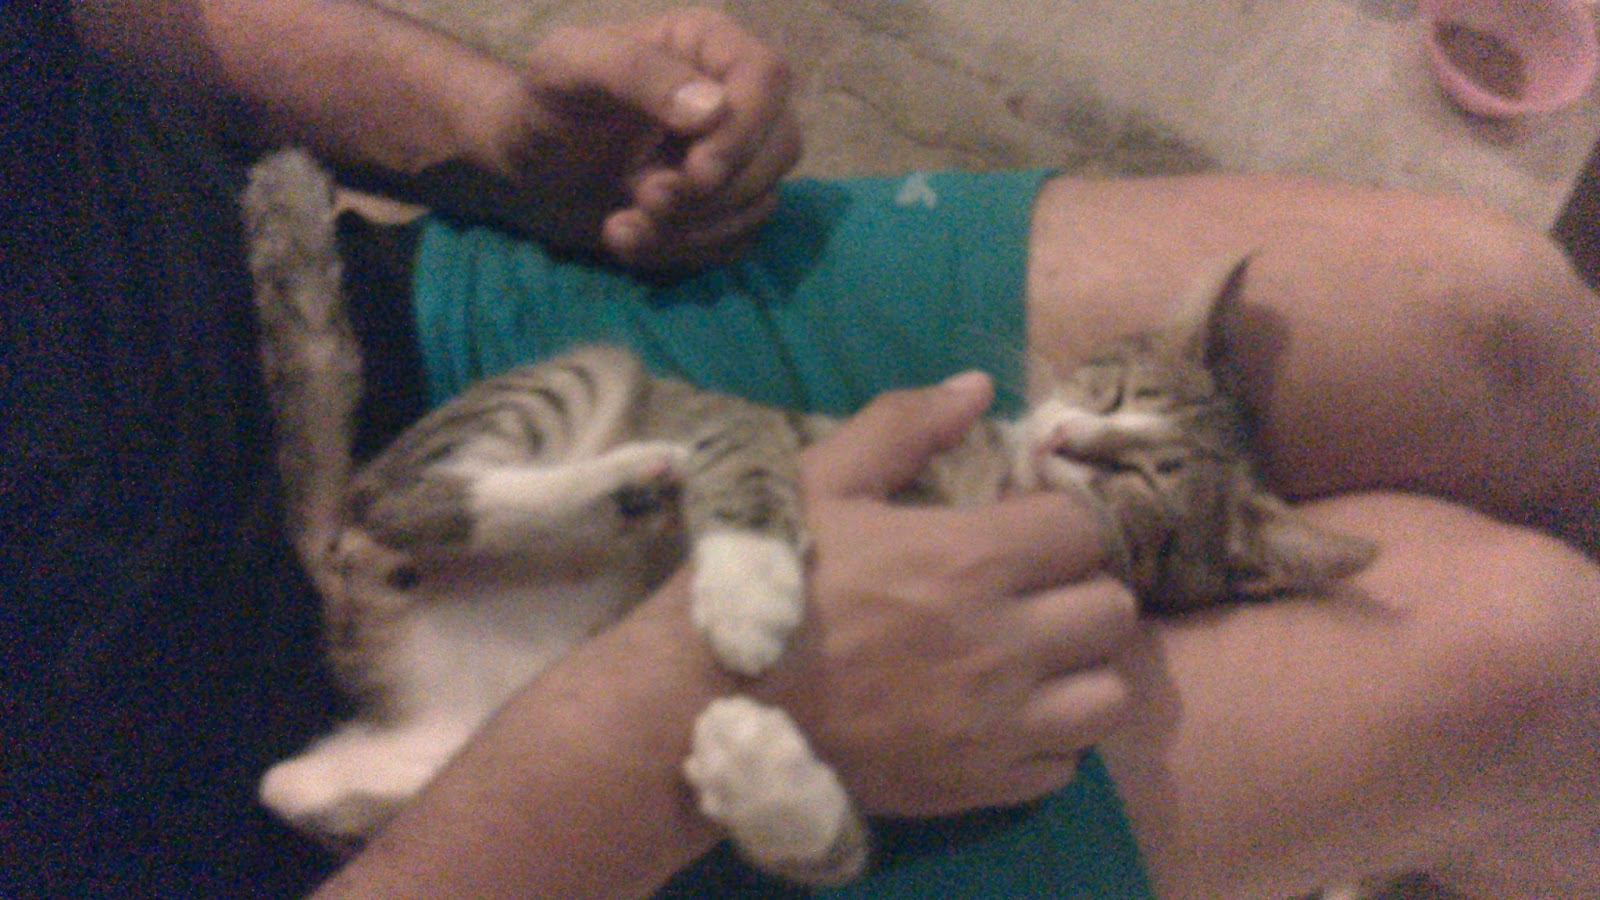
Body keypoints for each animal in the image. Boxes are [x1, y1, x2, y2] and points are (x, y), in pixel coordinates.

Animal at [241, 148, 1377, 886]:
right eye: (1113, 393)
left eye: (1152, 476)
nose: (1069, 440)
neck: (988, 489)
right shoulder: (756, 419)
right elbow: (748, 456)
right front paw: (751, 587)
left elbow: (837, 854)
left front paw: (764, 776)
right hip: (576, 376)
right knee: (398, 496)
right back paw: (622, 484)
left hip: (424, 759)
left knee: (290, 785)